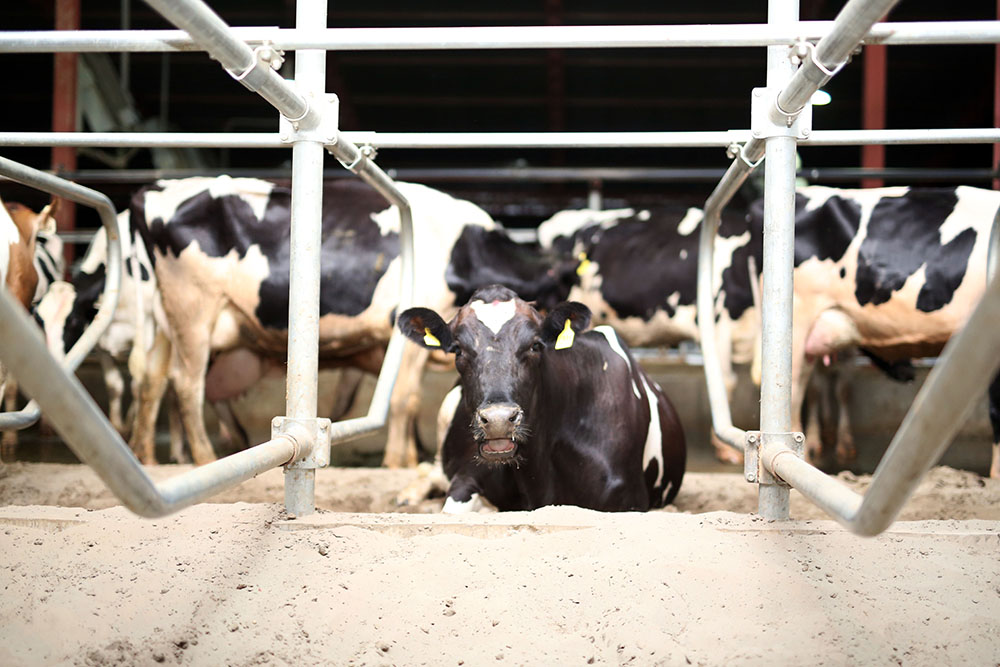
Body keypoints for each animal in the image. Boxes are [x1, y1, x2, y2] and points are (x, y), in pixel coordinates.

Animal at [131, 176, 571, 467]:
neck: (461, 249)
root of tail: (153, 190)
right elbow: (405, 399)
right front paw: (399, 462)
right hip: (193, 313)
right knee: (186, 385)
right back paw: (204, 458)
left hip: (166, 320)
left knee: (152, 380)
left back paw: (146, 456)